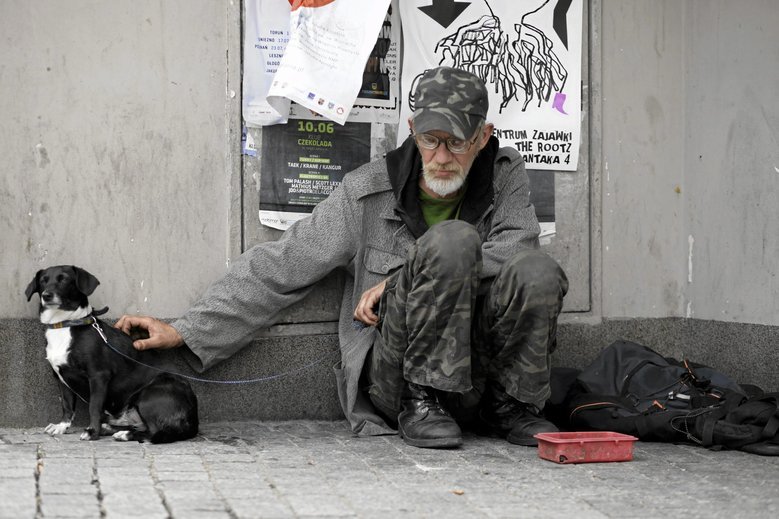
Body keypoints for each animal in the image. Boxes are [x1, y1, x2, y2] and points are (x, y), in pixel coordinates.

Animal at [26, 268, 200, 442]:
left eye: (64, 279)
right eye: (43, 280)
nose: (47, 295)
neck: (64, 325)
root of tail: (193, 420)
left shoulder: (98, 375)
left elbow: (94, 407)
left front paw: (92, 431)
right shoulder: (61, 378)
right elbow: (67, 405)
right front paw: (62, 426)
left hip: (149, 395)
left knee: (155, 432)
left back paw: (124, 434)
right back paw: (110, 428)